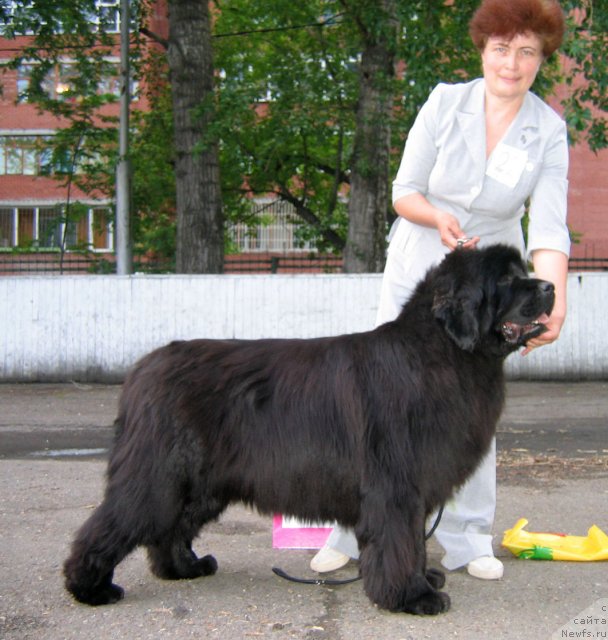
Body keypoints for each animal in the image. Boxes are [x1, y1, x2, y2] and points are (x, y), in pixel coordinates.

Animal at [63, 244, 556, 616]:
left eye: (524, 272)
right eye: (507, 280)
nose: (550, 285)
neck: (443, 353)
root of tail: (142, 369)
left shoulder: (414, 486)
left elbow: (414, 540)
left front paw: (424, 578)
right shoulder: (396, 484)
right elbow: (400, 540)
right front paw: (412, 596)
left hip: (202, 483)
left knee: (171, 528)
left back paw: (185, 567)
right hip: (160, 473)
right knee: (117, 520)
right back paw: (90, 586)